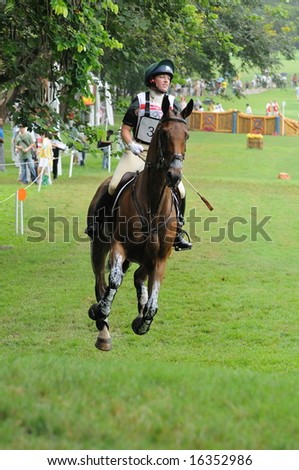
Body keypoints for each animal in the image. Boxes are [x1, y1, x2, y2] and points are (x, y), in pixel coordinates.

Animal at [86, 96, 195, 352]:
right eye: (163, 133)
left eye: (186, 135)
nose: (174, 176)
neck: (152, 204)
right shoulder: (118, 246)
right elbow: (114, 280)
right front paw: (101, 310)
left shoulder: (160, 258)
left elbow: (154, 299)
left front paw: (143, 321)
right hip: (99, 246)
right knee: (101, 282)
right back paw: (103, 331)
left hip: (142, 257)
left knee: (136, 276)